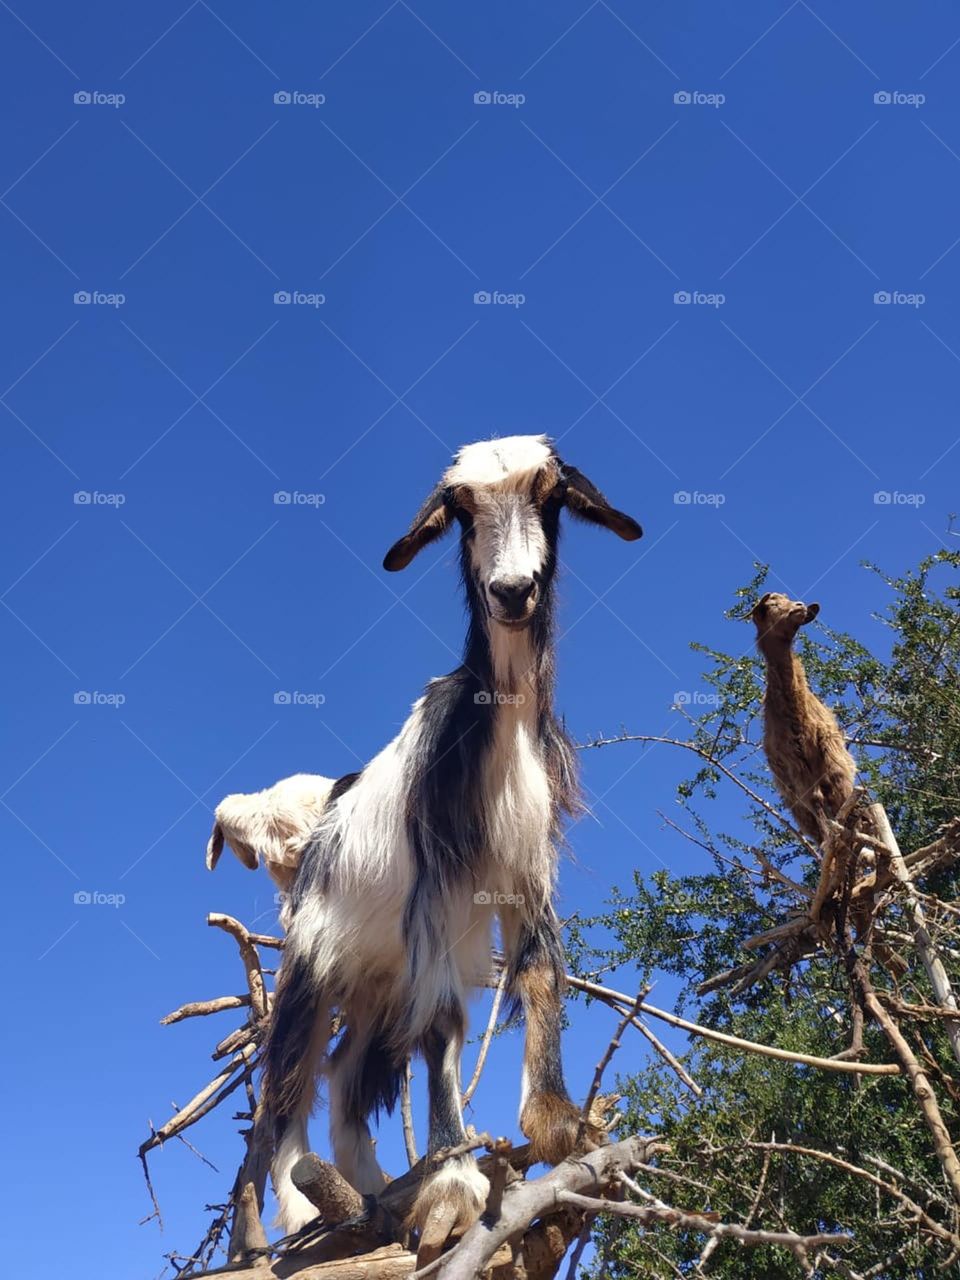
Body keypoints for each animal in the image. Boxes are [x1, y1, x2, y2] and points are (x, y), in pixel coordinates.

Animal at [259, 435, 642, 1233]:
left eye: (550, 494)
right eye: (461, 510)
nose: (512, 591)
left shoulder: (525, 866)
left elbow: (538, 971)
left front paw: (557, 1123)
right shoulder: (434, 887)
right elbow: (441, 1024)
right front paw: (457, 1179)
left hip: (377, 980)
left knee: (347, 1071)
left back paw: (370, 1187)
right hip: (312, 963)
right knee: (289, 1078)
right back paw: (305, 1204)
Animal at [752, 593, 855, 844]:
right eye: (770, 605)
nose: (799, 607)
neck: (798, 716)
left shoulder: (832, 752)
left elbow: (842, 791)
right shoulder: (795, 765)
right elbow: (816, 800)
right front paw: (834, 842)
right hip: (795, 803)